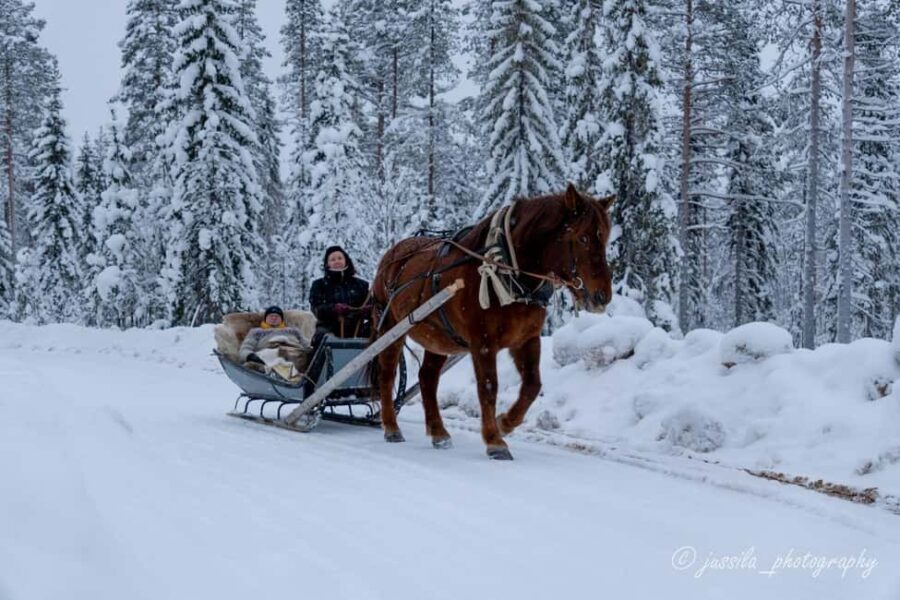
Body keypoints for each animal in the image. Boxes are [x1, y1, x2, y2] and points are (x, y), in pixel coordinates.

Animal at [369, 184, 614, 460]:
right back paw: (391, 427)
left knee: (427, 377)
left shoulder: (527, 339)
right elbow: (488, 387)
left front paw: (504, 423)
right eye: (583, 238)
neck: (507, 271)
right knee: (387, 374)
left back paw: (439, 432)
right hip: (390, 327)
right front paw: (494, 441)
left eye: (605, 238)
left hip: (440, 339)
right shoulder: (483, 342)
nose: (602, 296)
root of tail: (392, 254)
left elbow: (532, 385)